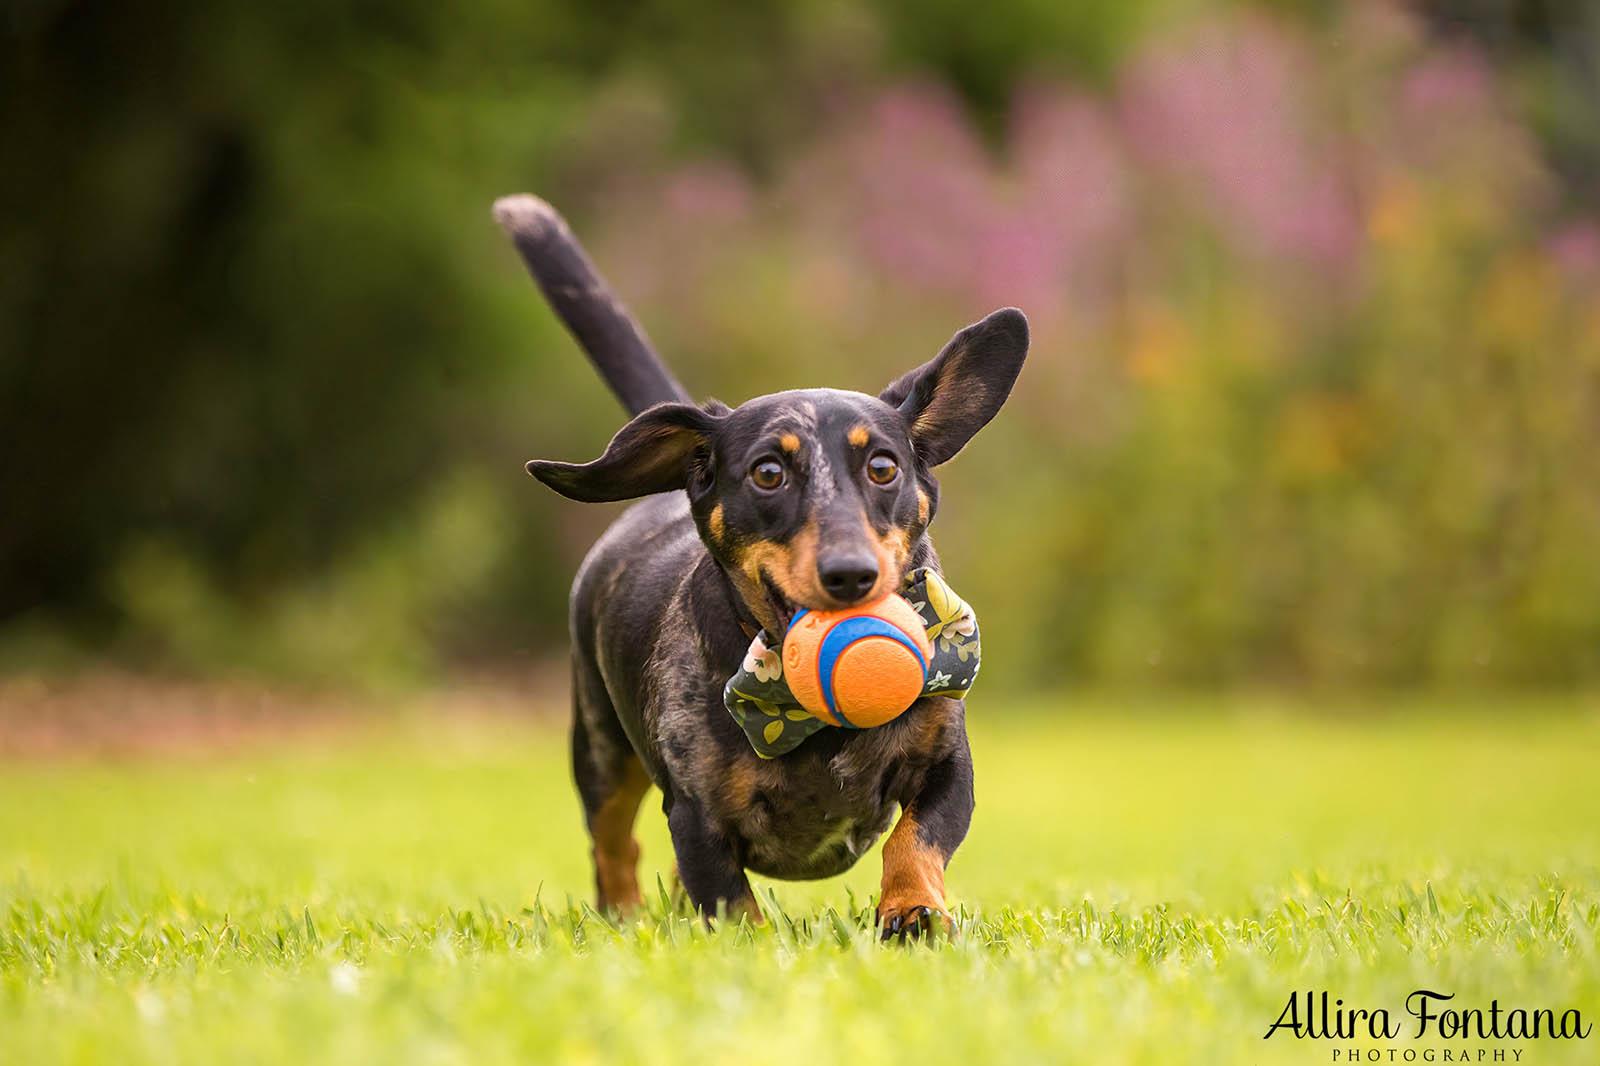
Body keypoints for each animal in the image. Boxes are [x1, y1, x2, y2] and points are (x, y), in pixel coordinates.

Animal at [492, 195, 1030, 934]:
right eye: (768, 472)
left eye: (883, 467)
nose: (851, 575)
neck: (804, 715)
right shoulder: (695, 813)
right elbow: (728, 900)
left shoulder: (948, 764)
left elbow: (914, 838)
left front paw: (913, 910)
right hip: (600, 749)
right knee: (612, 842)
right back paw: (624, 917)